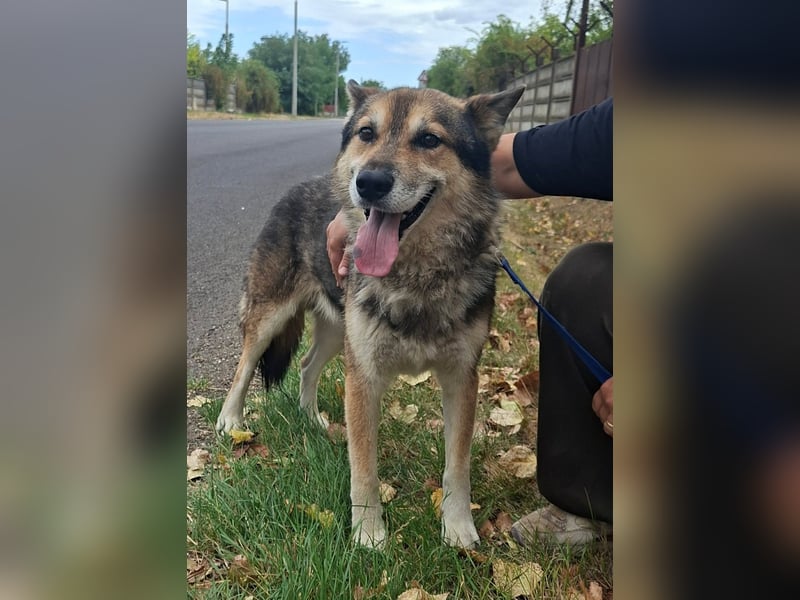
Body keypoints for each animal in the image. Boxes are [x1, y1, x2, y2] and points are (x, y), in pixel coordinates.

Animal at [216, 81, 524, 549]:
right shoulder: (364, 377)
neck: (415, 278)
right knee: (244, 367)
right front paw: (369, 535)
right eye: (366, 133)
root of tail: (298, 187)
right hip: (272, 318)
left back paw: (314, 421)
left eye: (429, 139)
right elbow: (363, 466)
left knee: (306, 367)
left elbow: (458, 466)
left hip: (335, 333)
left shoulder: (461, 379)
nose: (370, 183)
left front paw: (457, 529)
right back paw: (231, 421)